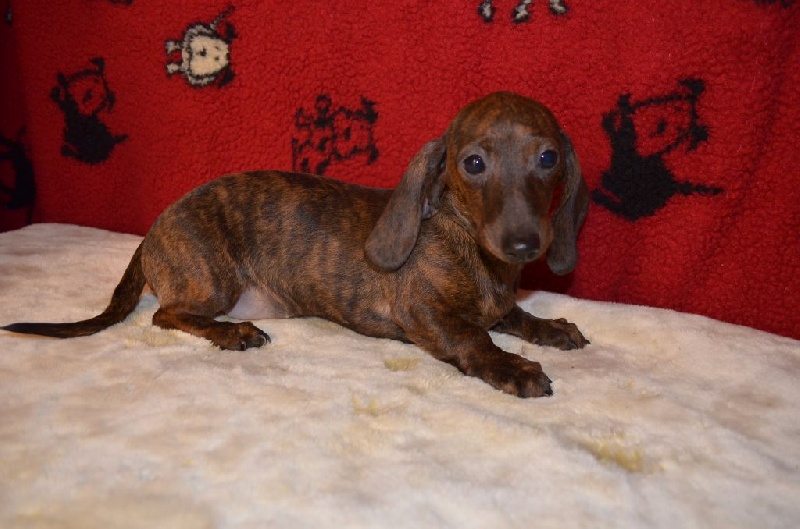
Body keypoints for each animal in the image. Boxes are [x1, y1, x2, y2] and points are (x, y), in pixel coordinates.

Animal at [3, 92, 590, 398]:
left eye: (548, 158)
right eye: (473, 163)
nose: (523, 242)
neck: (472, 248)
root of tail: (153, 230)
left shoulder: (498, 302)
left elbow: (513, 315)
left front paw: (550, 328)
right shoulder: (424, 313)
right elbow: (473, 337)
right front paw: (512, 368)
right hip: (212, 280)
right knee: (165, 315)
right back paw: (233, 333)